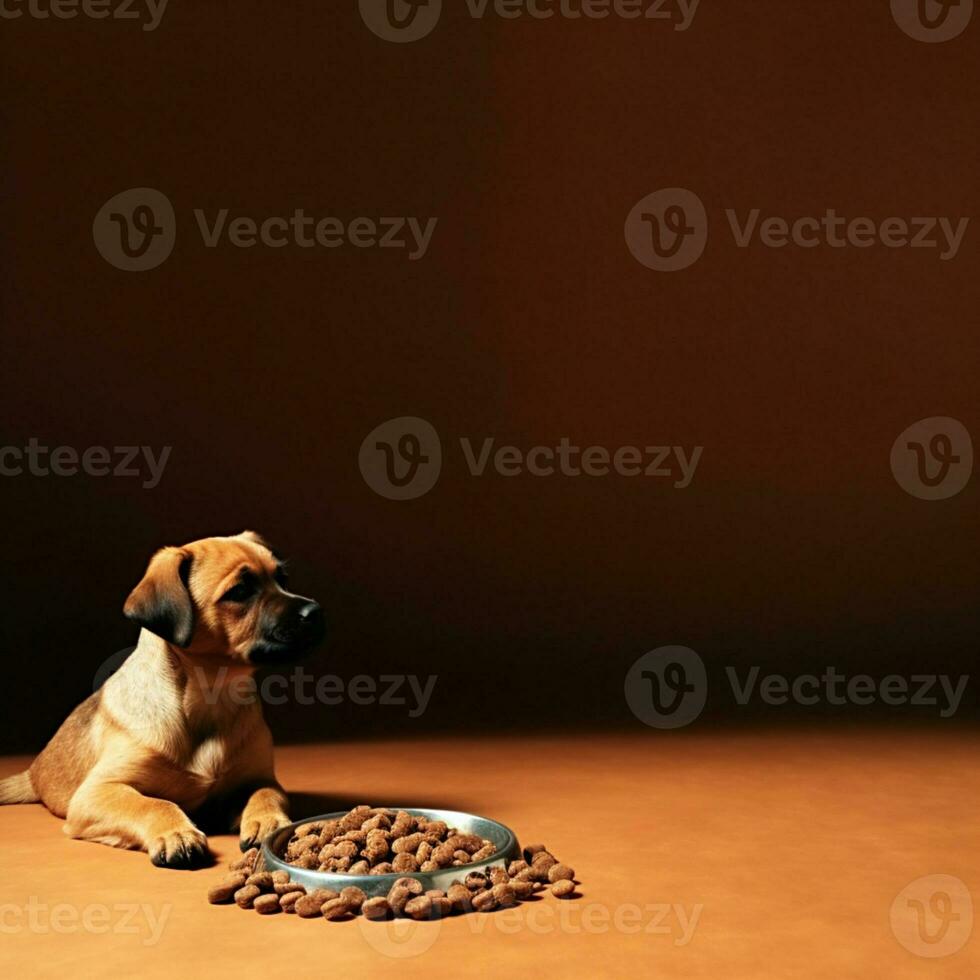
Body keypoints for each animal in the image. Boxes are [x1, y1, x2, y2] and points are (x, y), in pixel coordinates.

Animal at [0, 532, 328, 868]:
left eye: (282, 578)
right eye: (240, 591)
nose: (315, 611)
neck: (210, 697)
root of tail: (33, 774)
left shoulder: (260, 777)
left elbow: (266, 794)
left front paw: (268, 821)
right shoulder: (98, 791)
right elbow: (152, 804)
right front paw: (176, 833)